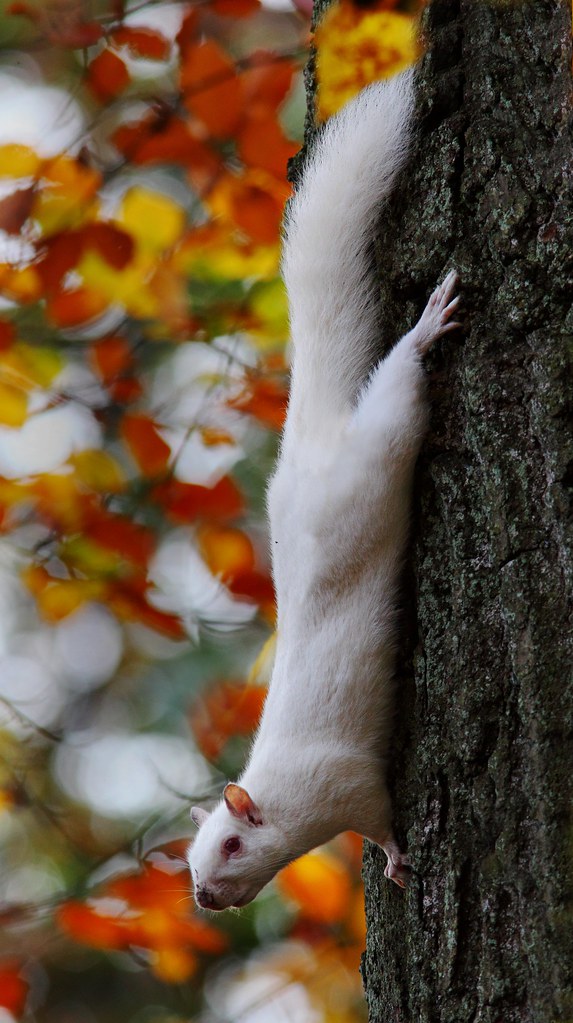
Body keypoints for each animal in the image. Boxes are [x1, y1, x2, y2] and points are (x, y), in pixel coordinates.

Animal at [188, 68, 461, 911]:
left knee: (399, 385)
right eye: (188, 860)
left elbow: (377, 813)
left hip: (380, 444)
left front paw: (397, 856)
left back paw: (426, 328)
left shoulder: (342, 781)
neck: (281, 793)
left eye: (232, 843)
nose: (205, 896)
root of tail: (308, 440)